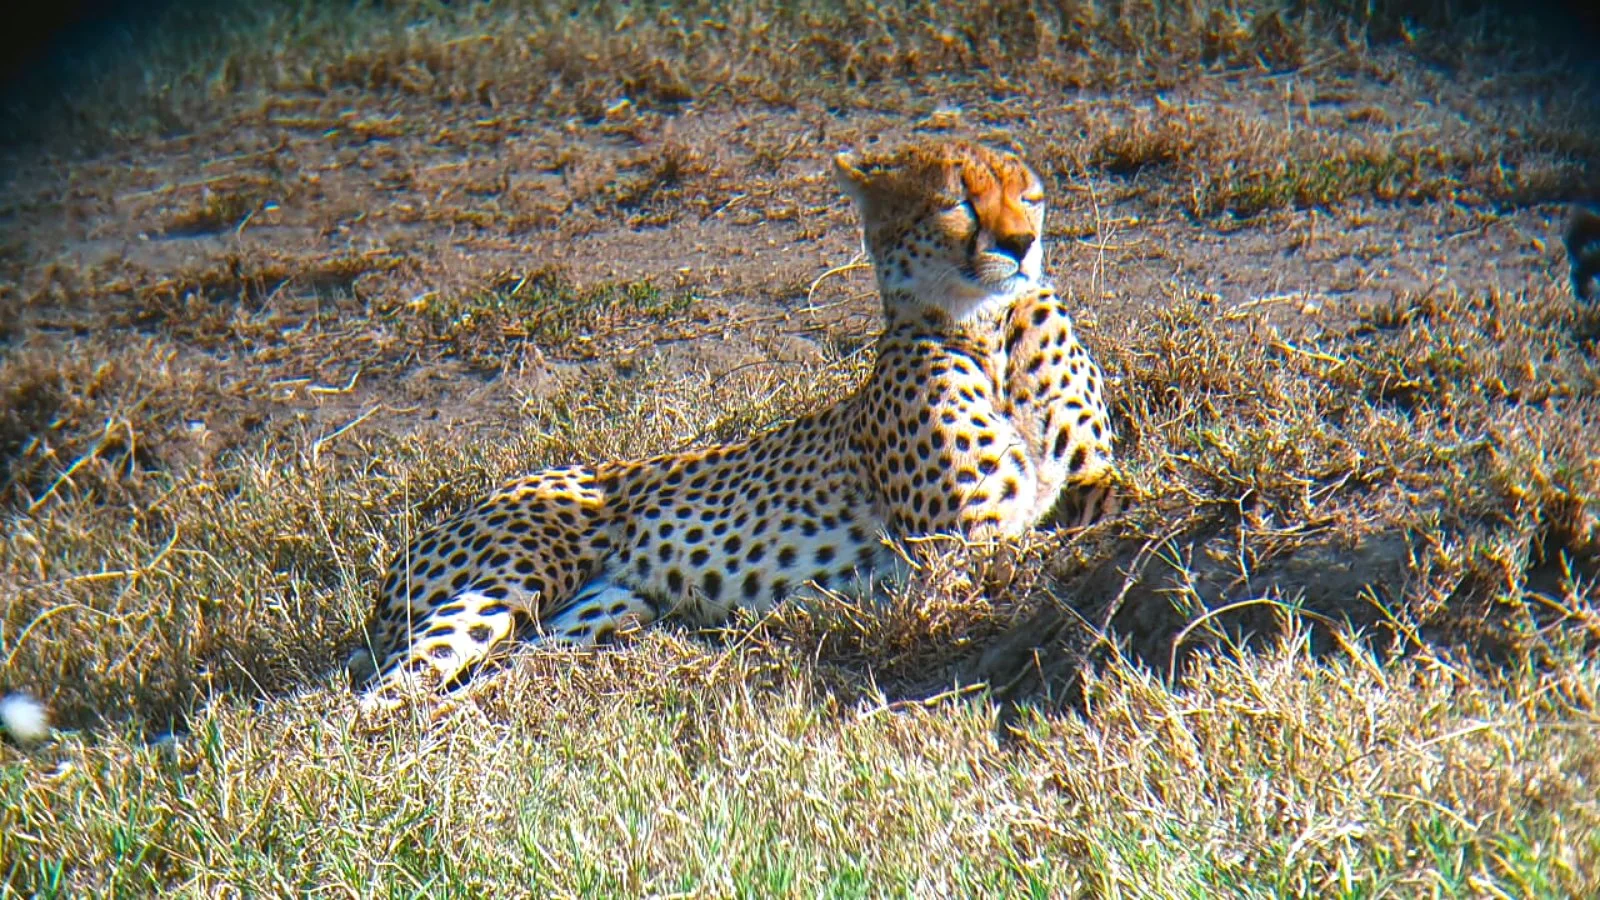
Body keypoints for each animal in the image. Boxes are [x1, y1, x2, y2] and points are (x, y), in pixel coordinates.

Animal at [355, 138, 1120, 707]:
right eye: (958, 200)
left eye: (1028, 196)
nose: (1022, 243)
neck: (988, 333)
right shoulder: (958, 546)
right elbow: (1045, 550)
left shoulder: (1090, 479)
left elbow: (1118, 507)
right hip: (503, 582)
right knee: (375, 698)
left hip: (603, 612)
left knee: (502, 676)